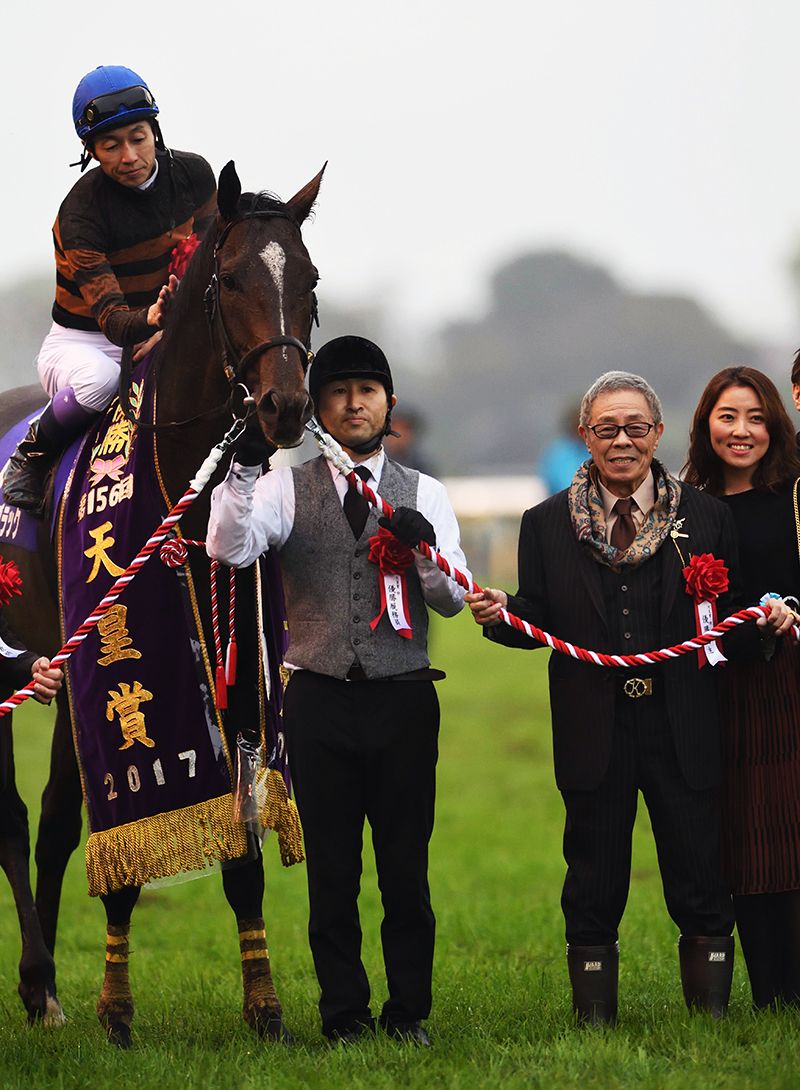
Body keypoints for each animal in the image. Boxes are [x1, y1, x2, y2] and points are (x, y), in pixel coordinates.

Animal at [0, 159, 326, 1037]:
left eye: (309, 279)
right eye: (231, 277)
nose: (285, 406)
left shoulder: (238, 664)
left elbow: (240, 838)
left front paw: (264, 1003)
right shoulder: (113, 646)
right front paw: (115, 1008)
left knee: (50, 819)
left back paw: (43, 991)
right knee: (18, 818)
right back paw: (40, 979)